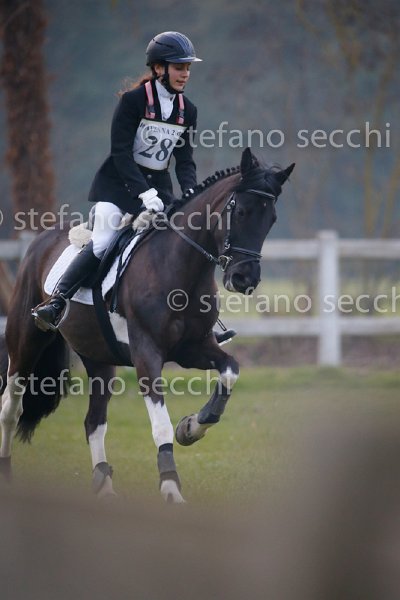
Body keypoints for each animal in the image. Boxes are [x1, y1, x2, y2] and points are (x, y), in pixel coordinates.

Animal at [0, 148, 294, 503]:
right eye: (240, 211)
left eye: (272, 219)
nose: (244, 279)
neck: (180, 267)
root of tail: (41, 237)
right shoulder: (147, 354)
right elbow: (160, 423)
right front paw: (170, 487)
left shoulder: (194, 349)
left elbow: (230, 371)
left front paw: (192, 427)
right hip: (25, 342)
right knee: (10, 409)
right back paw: (8, 475)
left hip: (99, 359)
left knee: (94, 421)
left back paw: (105, 487)